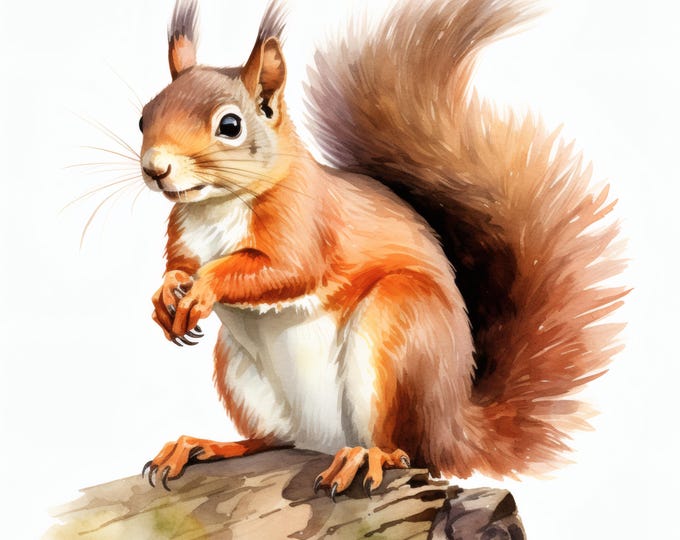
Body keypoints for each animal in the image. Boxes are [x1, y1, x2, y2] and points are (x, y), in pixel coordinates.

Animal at [139, 0, 626, 497]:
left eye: (230, 126)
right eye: (144, 116)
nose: (155, 169)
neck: (215, 206)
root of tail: (451, 424)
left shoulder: (305, 223)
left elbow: (285, 270)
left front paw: (202, 289)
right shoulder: (184, 236)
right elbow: (178, 266)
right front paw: (166, 295)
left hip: (397, 331)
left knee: (407, 450)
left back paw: (365, 456)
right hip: (240, 372)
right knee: (276, 438)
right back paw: (203, 446)